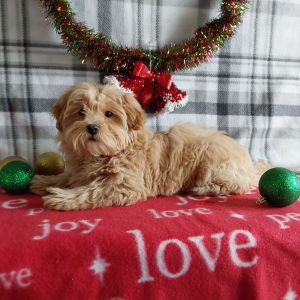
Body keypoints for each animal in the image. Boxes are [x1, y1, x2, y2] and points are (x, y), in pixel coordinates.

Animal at [30, 81, 272, 210]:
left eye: (109, 114)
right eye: (80, 112)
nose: (92, 127)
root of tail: (249, 163)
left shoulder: (126, 185)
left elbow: (92, 191)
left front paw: (62, 198)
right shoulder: (82, 171)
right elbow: (72, 177)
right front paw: (46, 181)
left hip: (213, 163)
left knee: (236, 185)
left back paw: (203, 188)